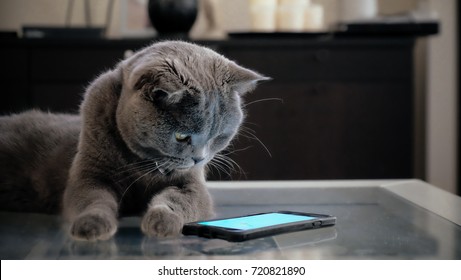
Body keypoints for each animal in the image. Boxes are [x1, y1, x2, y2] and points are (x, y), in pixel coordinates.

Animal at [0, 41, 268, 241]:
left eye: (218, 135)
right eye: (182, 136)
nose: (199, 158)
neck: (143, 163)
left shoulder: (193, 186)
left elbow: (177, 200)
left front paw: (162, 221)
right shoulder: (89, 175)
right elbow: (93, 200)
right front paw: (92, 225)